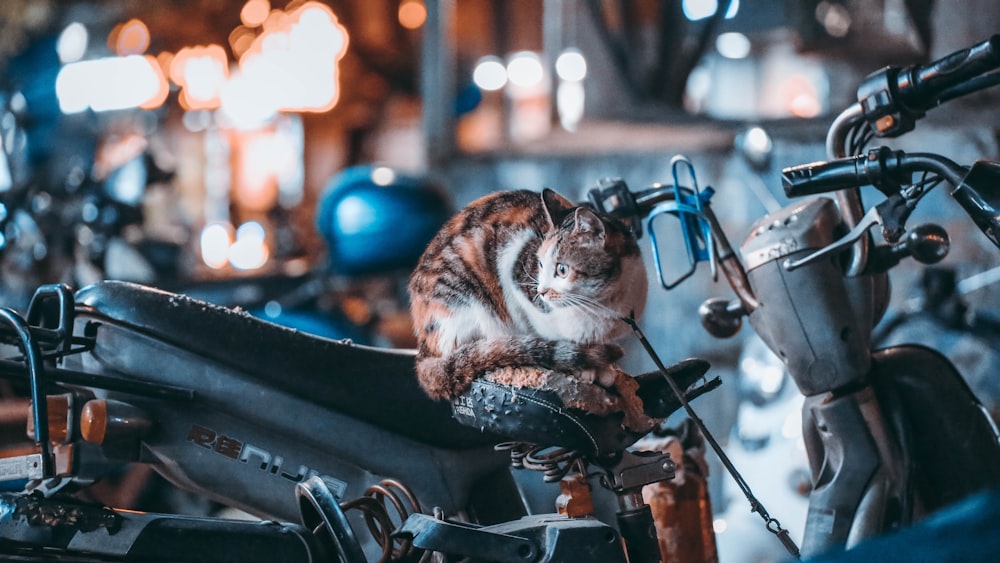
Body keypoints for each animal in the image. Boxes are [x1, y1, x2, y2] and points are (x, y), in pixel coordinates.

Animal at [406, 189, 648, 400]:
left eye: (562, 269)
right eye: (540, 264)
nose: (541, 291)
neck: (599, 305)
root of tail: (423, 347)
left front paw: (603, 367)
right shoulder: (513, 267)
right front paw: (585, 366)